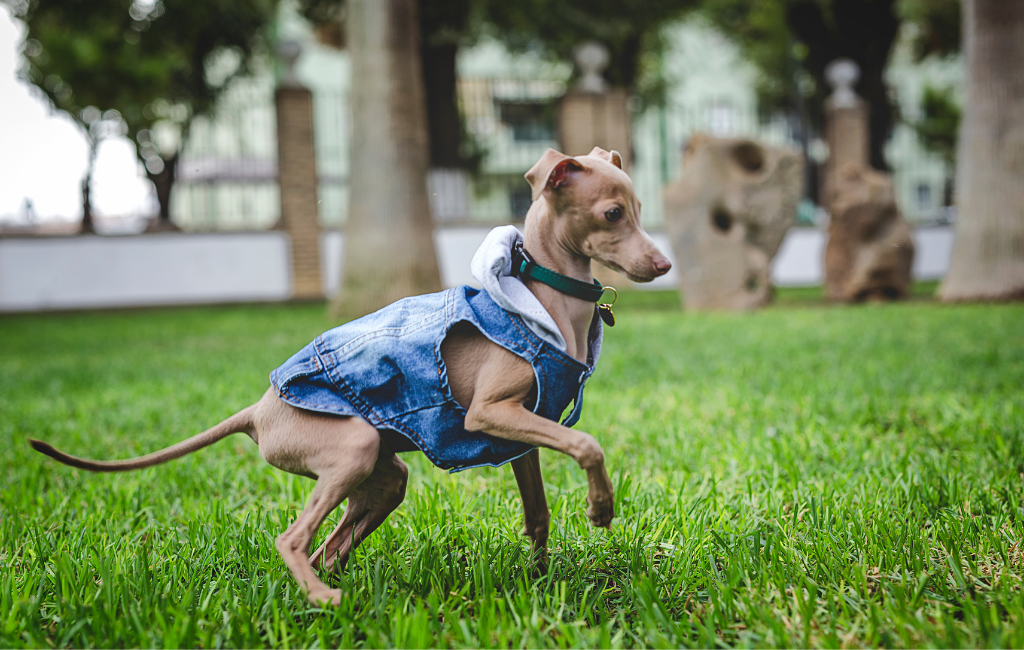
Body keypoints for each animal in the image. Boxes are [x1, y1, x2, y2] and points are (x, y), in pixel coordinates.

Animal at [29, 146, 671, 605]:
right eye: (612, 213)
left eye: (640, 209)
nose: (663, 265)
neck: (545, 301)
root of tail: (258, 409)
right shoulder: (489, 414)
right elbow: (587, 443)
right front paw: (601, 509)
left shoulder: (522, 434)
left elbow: (537, 515)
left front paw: (541, 581)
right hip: (353, 447)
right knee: (292, 541)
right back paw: (324, 599)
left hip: (381, 477)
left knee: (327, 548)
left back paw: (326, 598)